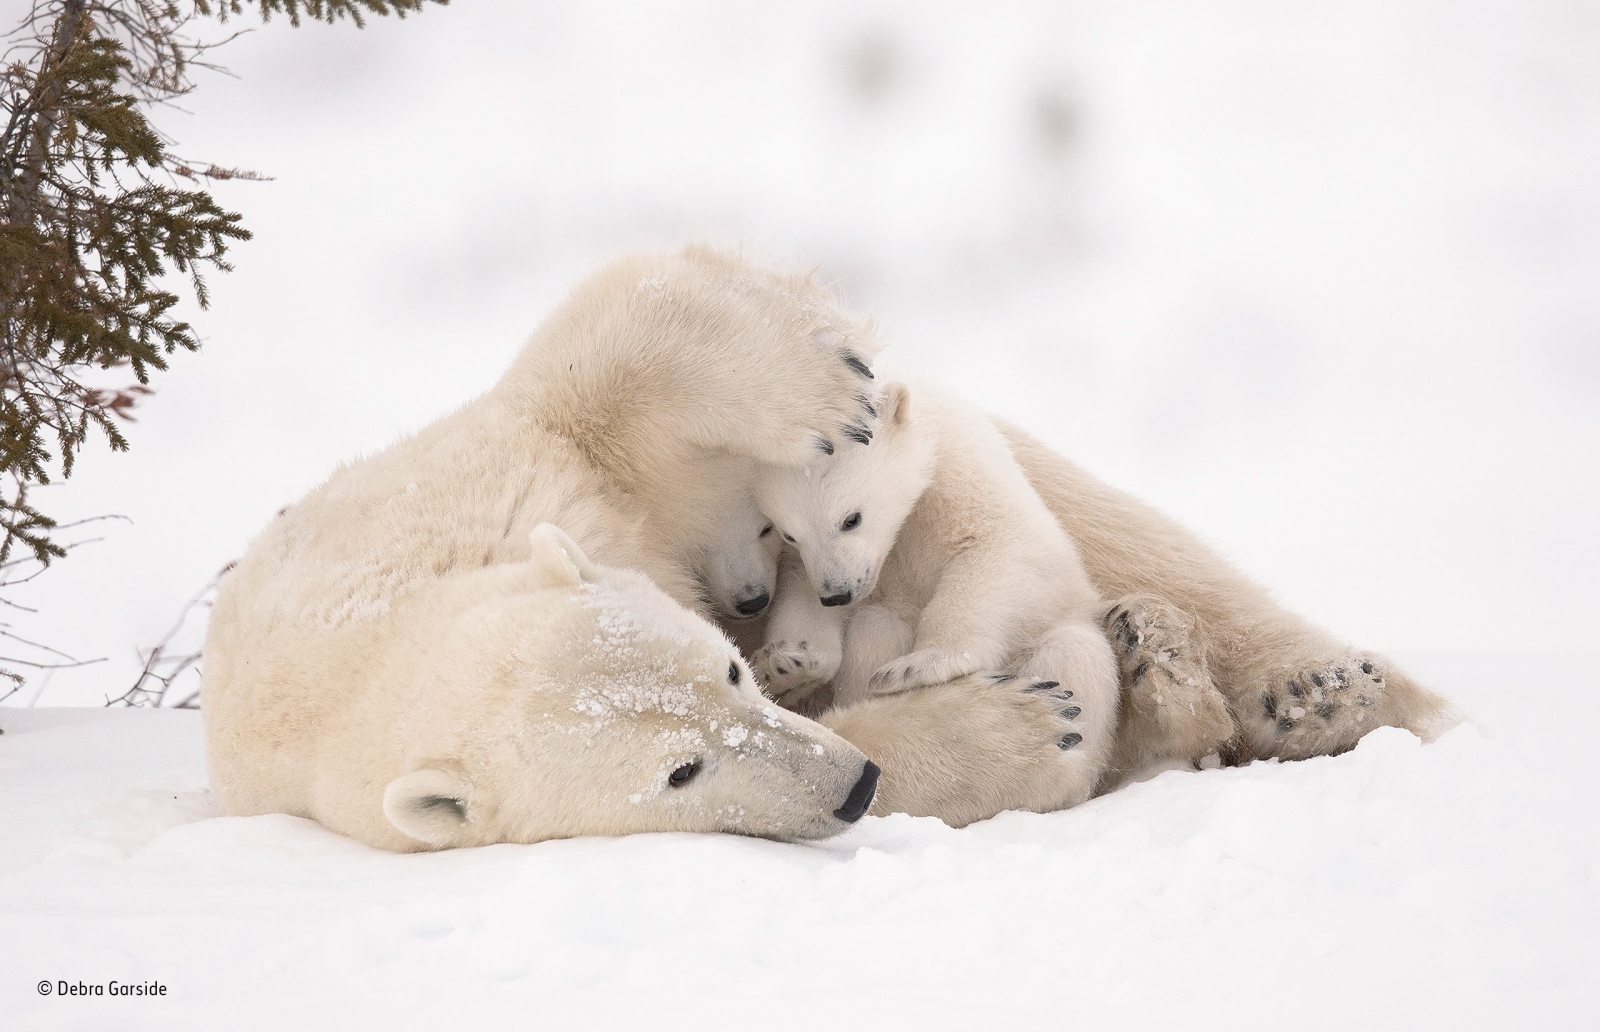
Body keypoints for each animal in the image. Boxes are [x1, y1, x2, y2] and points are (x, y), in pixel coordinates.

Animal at [745, 377, 1113, 812]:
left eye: (851, 518)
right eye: (789, 533)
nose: (838, 594)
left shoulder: (964, 470)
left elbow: (1003, 547)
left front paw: (917, 667)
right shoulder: (813, 565)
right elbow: (801, 591)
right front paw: (788, 663)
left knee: (1070, 653)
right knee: (877, 627)